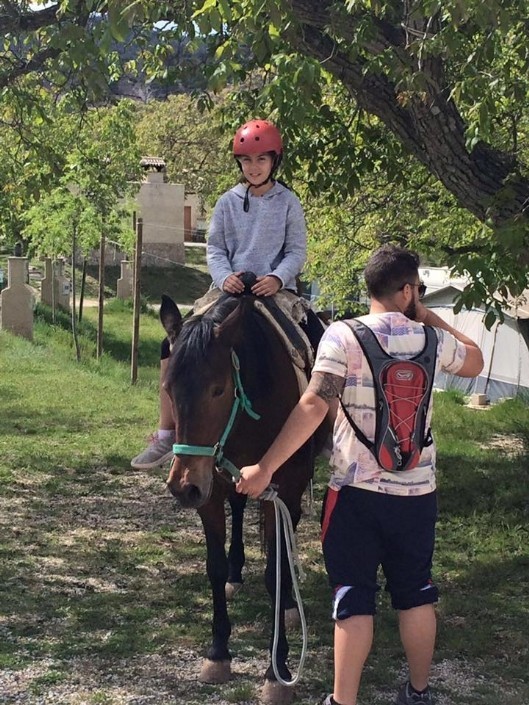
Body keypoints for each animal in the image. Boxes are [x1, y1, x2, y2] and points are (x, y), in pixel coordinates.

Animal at [161, 286, 326, 704]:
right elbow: (214, 566)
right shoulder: (211, 487)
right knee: (237, 508)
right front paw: (218, 653)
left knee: (288, 532)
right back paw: (237, 573)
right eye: (168, 389)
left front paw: (277, 670)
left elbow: (275, 572)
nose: (183, 486)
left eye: (218, 389)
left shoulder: (282, 488)